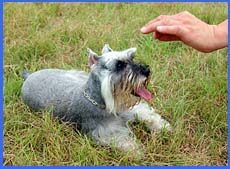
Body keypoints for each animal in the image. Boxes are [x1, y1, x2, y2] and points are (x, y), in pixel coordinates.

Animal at [22, 43, 171, 152]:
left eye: (131, 58)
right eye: (119, 65)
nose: (147, 70)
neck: (101, 102)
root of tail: (29, 76)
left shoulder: (131, 110)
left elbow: (148, 115)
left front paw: (163, 127)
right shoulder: (106, 132)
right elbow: (124, 141)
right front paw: (137, 151)